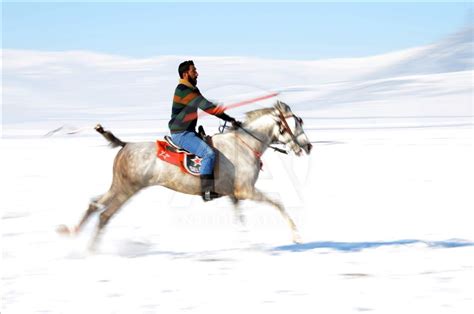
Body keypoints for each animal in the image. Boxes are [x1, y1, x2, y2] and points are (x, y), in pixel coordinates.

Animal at [57, 102, 312, 249]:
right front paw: (296, 236)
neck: (244, 144)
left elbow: (240, 218)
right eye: (297, 124)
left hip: (118, 185)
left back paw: (72, 235)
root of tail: (125, 145)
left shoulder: (233, 195)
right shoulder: (245, 190)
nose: (308, 146)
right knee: (104, 215)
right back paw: (90, 250)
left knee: (94, 204)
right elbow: (278, 203)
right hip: (127, 189)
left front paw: (245, 241)